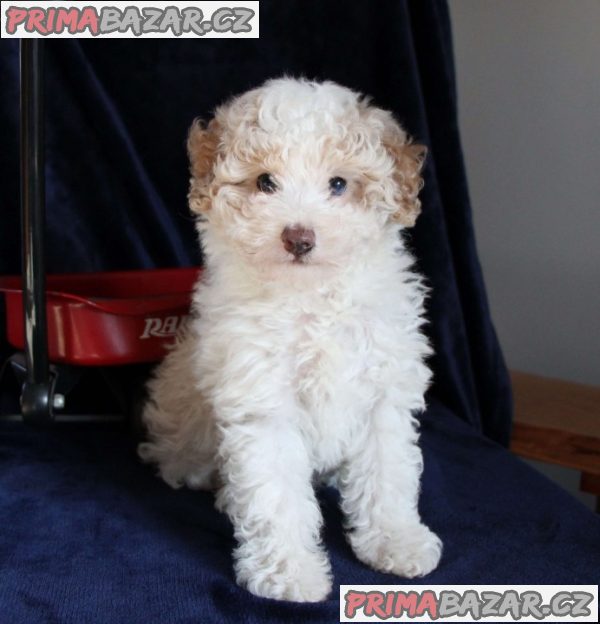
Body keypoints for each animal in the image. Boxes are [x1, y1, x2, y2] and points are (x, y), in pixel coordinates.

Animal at [138, 77, 442, 600]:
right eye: (265, 182)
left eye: (338, 184)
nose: (299, 238)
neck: (313, 299)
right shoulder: (264, 401)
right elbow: (276, 494)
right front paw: (290, 571)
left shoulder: (382, 392)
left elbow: (388, 475)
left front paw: (395, 542)